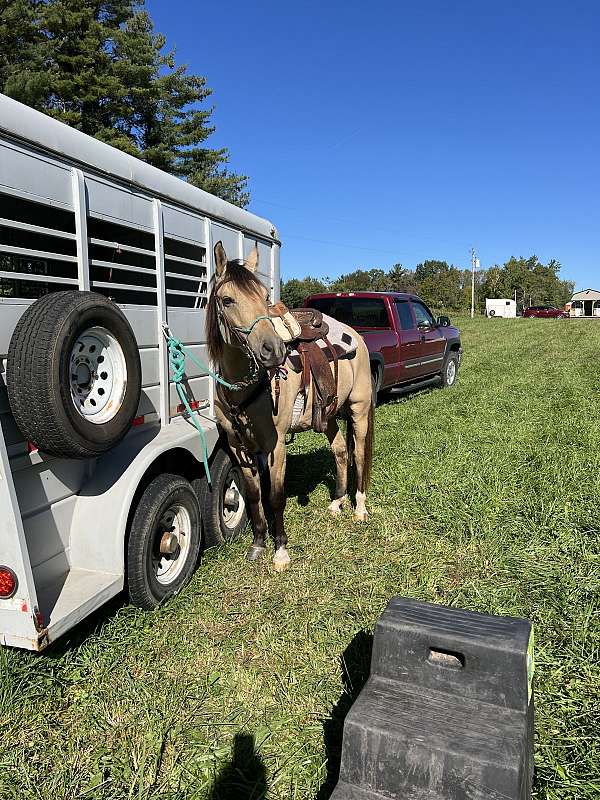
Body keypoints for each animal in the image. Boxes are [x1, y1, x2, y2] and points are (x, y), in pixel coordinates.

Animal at [205, 241, 374, 571]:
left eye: (264, 296)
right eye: (227, 300)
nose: (273, 350)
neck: (244, 389)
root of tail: (357, 337)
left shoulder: (276, 445)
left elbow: (276, 497)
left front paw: (280, 550)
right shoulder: (239, 447)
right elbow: (254, 496)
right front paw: (258, 544)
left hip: (359, 410)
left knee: (359, 454)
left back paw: (359, 508)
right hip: (329, 416)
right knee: (340, 451)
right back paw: (337, 502)